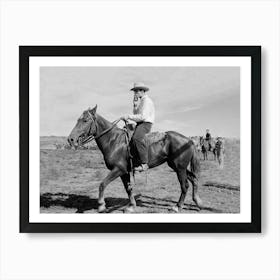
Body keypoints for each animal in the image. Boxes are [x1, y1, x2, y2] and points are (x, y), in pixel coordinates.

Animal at [68, 105, 203, 212]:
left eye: (85, 120)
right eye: (78, 119)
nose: (71, 139)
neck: (113, 141)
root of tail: (189, 140)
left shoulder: (118, 169)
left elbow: (102, 184)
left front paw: (101, 205)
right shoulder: (124, 172)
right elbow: (128, 189)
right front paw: (131, 206)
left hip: (180, 168)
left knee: (185, 185)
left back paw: (177, 206)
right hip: (177, 166)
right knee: (194, 179)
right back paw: (198, 202)